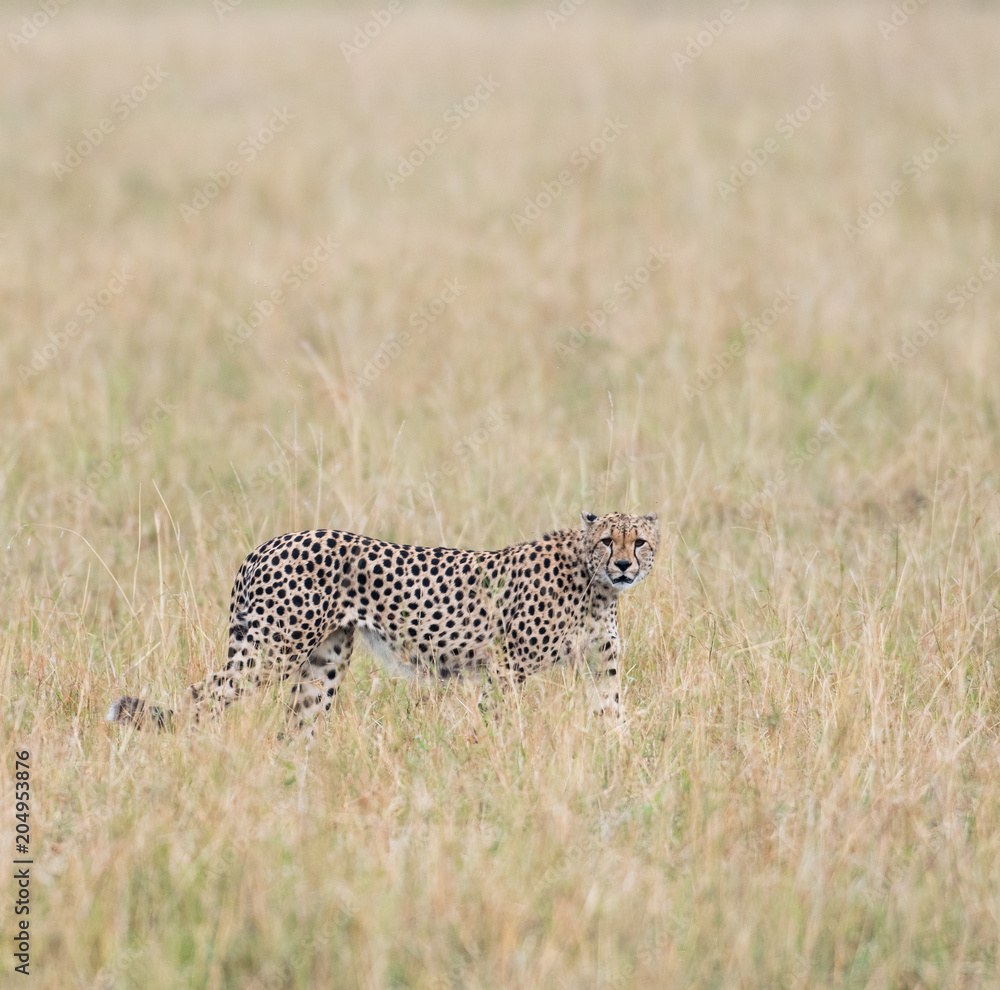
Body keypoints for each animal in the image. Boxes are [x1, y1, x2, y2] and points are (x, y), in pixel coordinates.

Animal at [107, 510, 659, 733]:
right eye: (608, 541)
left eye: (639, 541)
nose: (624, 566)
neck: (595, 583)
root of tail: (266, 545)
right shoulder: (507, 667)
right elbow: (498, 721)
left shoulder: (602, 669)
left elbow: (614, 719)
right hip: (270, 652)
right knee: (201, 696)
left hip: (322, 663)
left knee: (296, 728)